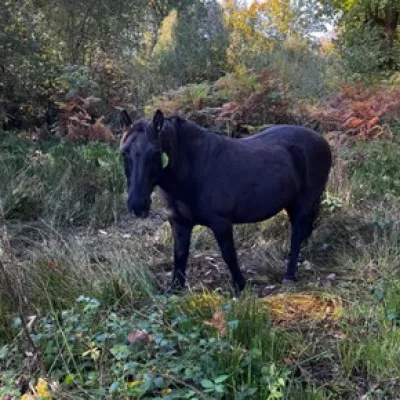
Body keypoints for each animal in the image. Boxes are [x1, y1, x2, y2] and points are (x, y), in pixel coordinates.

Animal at [119, 109, 332, 294]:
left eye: (156, 153)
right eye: (124, 153)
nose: (137, 205)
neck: (195, 170)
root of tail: (320, 139)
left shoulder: (221, 223)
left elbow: (229, 255)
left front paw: (241, 287)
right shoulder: (179, 223)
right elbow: (179, 256)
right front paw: (175, 289)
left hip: (304, 202)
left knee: (297, 235)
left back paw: (289, 275)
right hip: (291, 203)